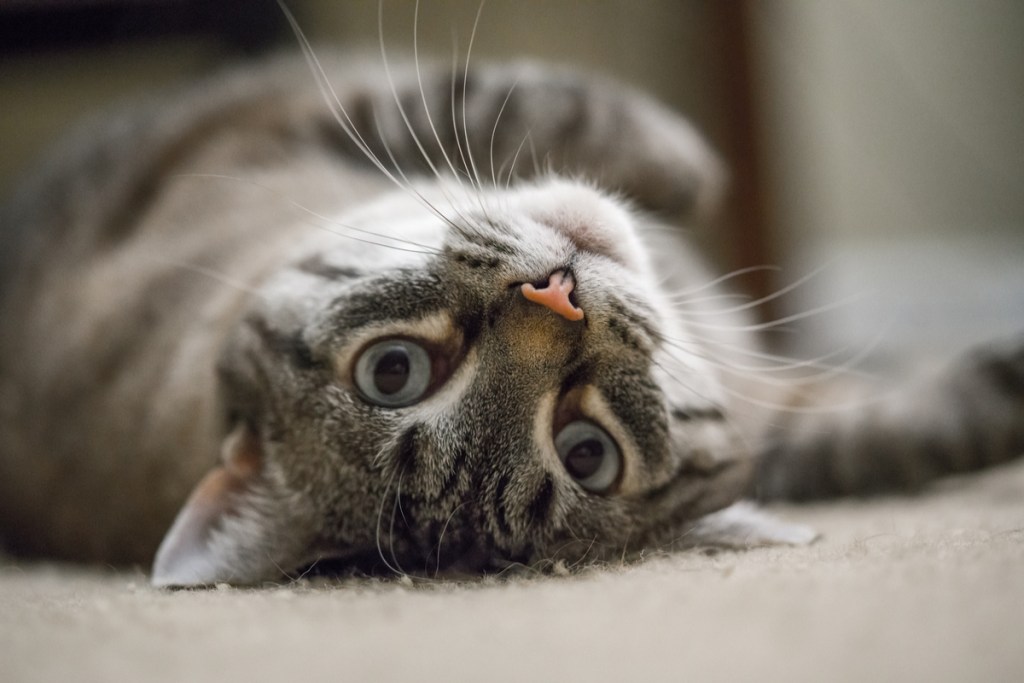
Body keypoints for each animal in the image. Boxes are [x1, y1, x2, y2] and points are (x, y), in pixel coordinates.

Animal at [0, 46, 1019, 589]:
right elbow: (536, 101)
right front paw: (693, 166)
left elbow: (902, 434)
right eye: (587, 453)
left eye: (392, 370)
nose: (557, 293)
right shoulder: (277, 117)